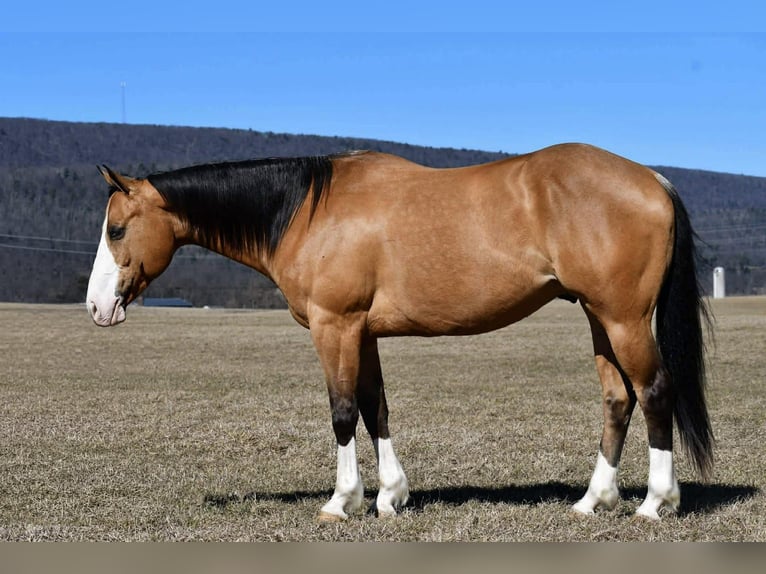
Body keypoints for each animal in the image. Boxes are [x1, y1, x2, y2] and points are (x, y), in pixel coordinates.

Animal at [86, 143, 713, 521]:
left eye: (116, 229)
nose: (96, 307)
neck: (307, 210)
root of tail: (653, 179)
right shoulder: (362, 332)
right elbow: (375, 408)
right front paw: (390, 496)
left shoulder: (334, 325)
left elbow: (342, 412)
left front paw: (341, 502)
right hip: (598, 317)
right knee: (617, 400)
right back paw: (592, 500)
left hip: (623, 319)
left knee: (655, 392)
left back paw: (655, 503)